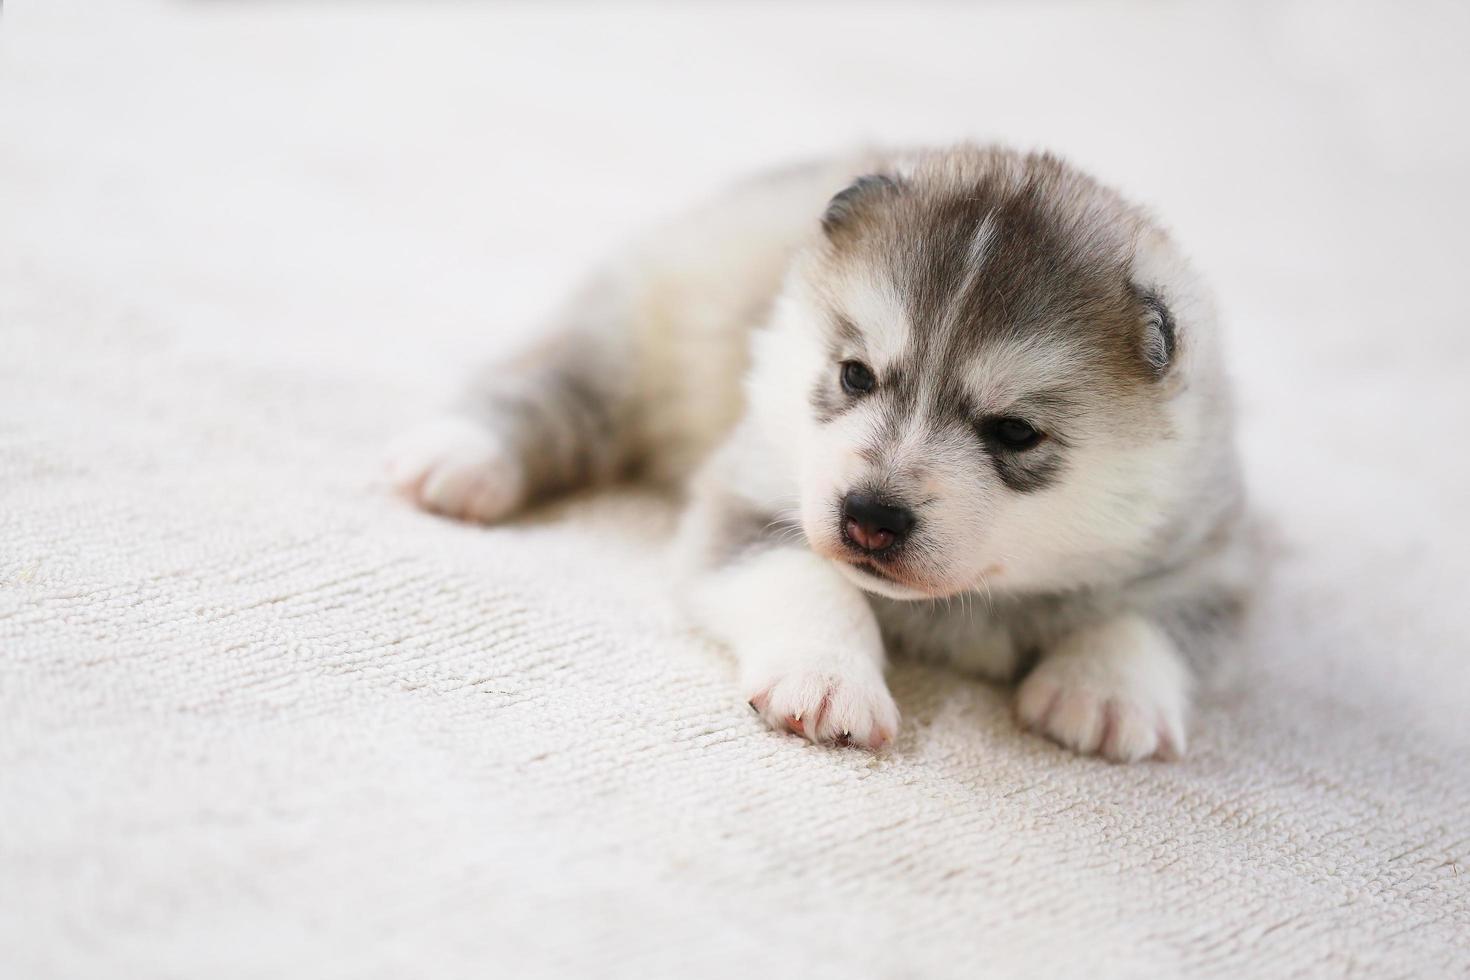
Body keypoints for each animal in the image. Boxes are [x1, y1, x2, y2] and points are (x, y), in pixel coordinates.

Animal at [391, 141, 1252, 764]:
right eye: (855, 375)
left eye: (1013, 432)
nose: (870, 516)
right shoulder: (747, 499)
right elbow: (808, 579)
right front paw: (830, 680)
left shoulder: (1220, 551)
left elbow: (1151, 617)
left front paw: (1105, 692)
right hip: (627, 337)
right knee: (549, 385)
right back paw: (462, 459)